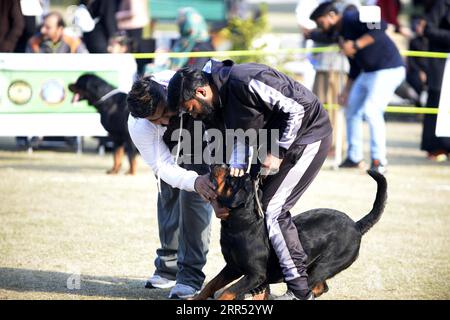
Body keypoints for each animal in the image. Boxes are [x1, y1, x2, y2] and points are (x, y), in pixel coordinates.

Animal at [195, 166, 388, 302]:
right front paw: (195, 298)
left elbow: (228, 291)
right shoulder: (232, 267)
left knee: (312, 287)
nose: (221, 164)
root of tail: (356, 225)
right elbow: (211, 284)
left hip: (324, 266)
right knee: (321, 287)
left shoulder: (255, 275)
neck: (243, 224)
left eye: (231, 180)